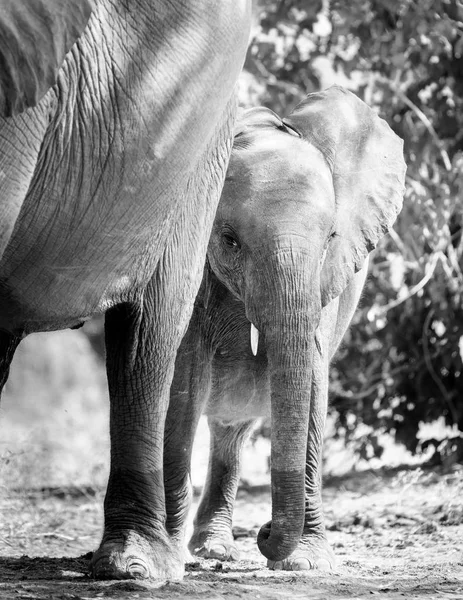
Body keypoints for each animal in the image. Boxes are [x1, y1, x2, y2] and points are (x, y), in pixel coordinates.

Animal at [164, 85, 406, 572]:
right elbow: (186, 375)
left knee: (233, 428)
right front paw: (170, 554)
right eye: (229, 239)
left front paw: (306, 563)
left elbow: (312, 378)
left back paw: (215, 549)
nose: (264, 531)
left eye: (331, 238)